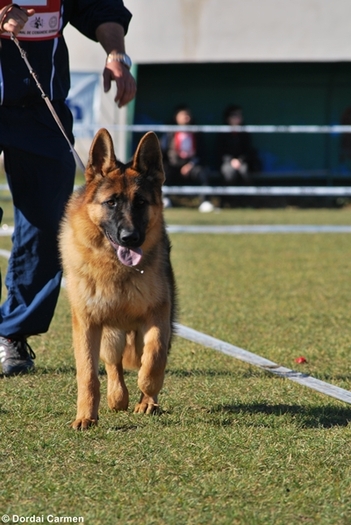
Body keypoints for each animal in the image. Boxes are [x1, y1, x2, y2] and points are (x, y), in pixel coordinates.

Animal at [60, 129, 177, 428]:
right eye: (111, 202)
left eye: (141, 202)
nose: (130, 238)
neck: (115, 269)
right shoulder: (87, 324)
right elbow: (88, 374)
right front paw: (85, 416)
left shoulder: (157, 314)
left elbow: (154, 357)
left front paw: (148, 389)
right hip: (110, 334)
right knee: (114, 363)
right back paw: (117, 397)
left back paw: (147, 401)